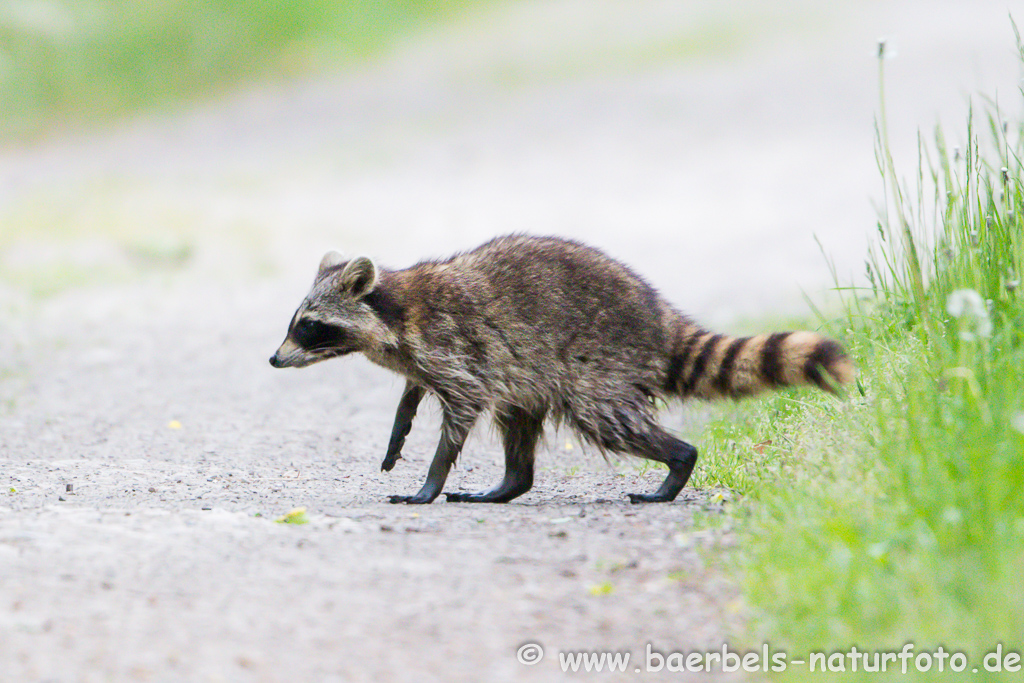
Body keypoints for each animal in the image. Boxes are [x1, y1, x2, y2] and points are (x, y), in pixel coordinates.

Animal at [268, 235, 851, 501]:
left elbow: (459, 417)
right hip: (532, 376)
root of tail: (658, 318)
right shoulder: (423, 358)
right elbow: (414, 393)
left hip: (599, 367)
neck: (394, 308)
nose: (274, 357)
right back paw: (509, 484)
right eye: (296, 321)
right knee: (518, 421)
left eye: (310, 326)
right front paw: (400, 426)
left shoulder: (453, 348)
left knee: (610, 421)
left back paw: (678, 463)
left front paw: (429, 480)